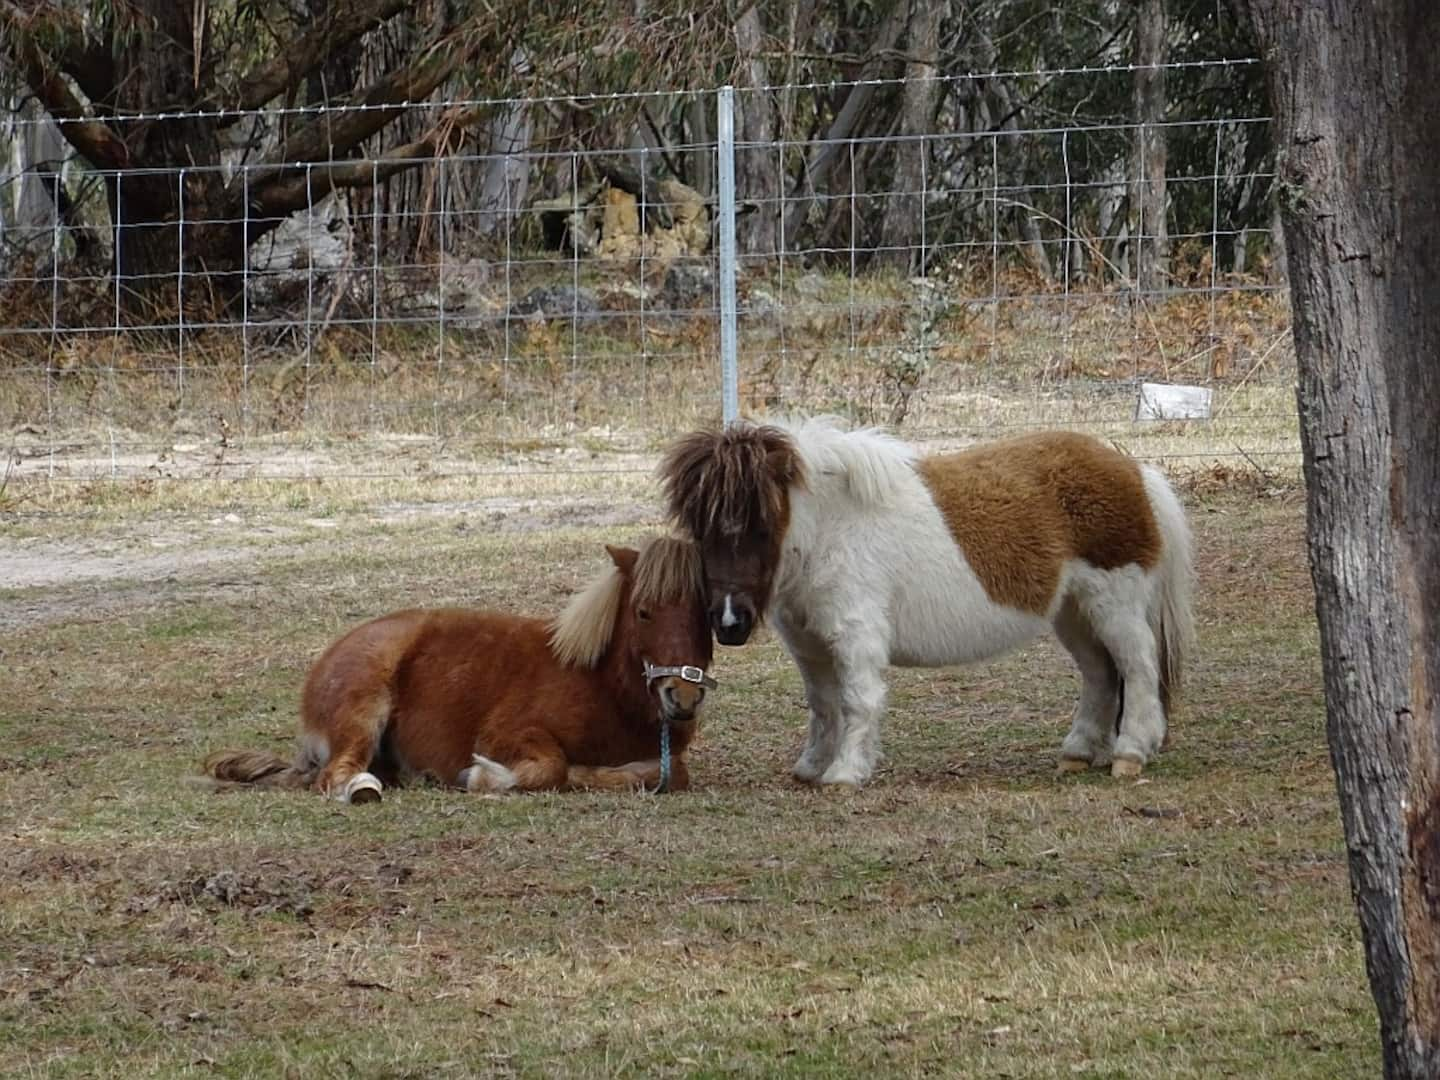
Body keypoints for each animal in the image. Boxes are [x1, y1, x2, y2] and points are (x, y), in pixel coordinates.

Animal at [200, 538, 717, 806]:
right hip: (363, 706)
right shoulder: (506, 732)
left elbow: (669, 774)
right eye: (644, 613)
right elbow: (550, 767)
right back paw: (362, 787)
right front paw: (484, 778)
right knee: (334, 775)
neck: (603, 688)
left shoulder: (665, 757)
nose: (682, 698)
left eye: (707, 617)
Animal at [659, 420, 1192, 789]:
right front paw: (812, 766)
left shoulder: (856, 635)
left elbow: (858, 701)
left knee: (1139, 669)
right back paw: (1078, 753)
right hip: (1073, 614)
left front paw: (845, 774)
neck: (830, 529)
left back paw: (1130, 754)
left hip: (1114, 608)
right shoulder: (809, 641)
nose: (729, 621)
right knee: (1100, 675)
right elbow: (823, 705)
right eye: (700, 530)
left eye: (762, 525)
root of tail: (1135, 470)